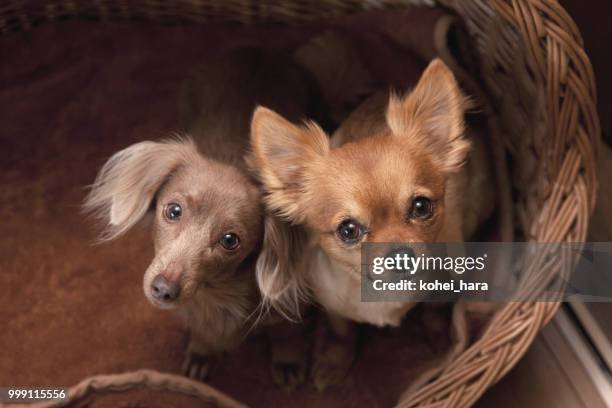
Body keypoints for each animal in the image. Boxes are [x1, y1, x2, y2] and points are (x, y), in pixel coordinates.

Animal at [83, 46, 318, 388]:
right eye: (173, 211)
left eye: (230, 240)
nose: (163, 289)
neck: (215, 295)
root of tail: (256, 50)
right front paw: (201, 352)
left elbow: (287, 330)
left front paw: (289, 360)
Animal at [249, 58, 492, 388]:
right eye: (348, 230)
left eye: (421, 207)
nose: (401, 256)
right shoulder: (333, 306)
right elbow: (343, 333)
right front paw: (335, 362)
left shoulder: (446, 279)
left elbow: (435, 311)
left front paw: (443, 342)